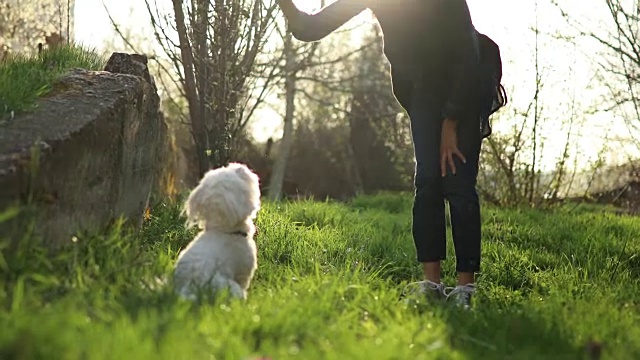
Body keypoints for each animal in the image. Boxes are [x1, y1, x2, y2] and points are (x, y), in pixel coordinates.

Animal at [174, 162, 262, 300]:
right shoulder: (244, 271)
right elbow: (244, 282)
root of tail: (188, 287)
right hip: (228, 285)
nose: (240, 166)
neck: (223, 230)